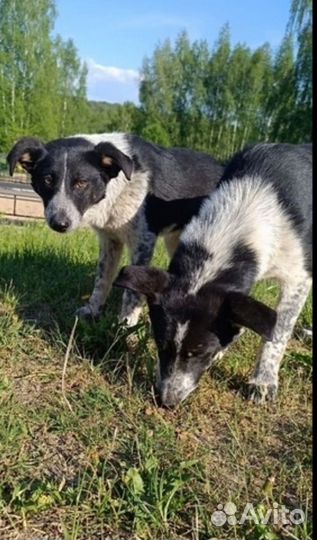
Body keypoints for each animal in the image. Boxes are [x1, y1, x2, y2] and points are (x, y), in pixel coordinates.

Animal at [114, 142, 312, 404]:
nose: (167, 402)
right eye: (160, 344)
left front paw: (263, 382)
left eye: (199, 352)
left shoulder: (298, 278)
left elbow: (277, 333)